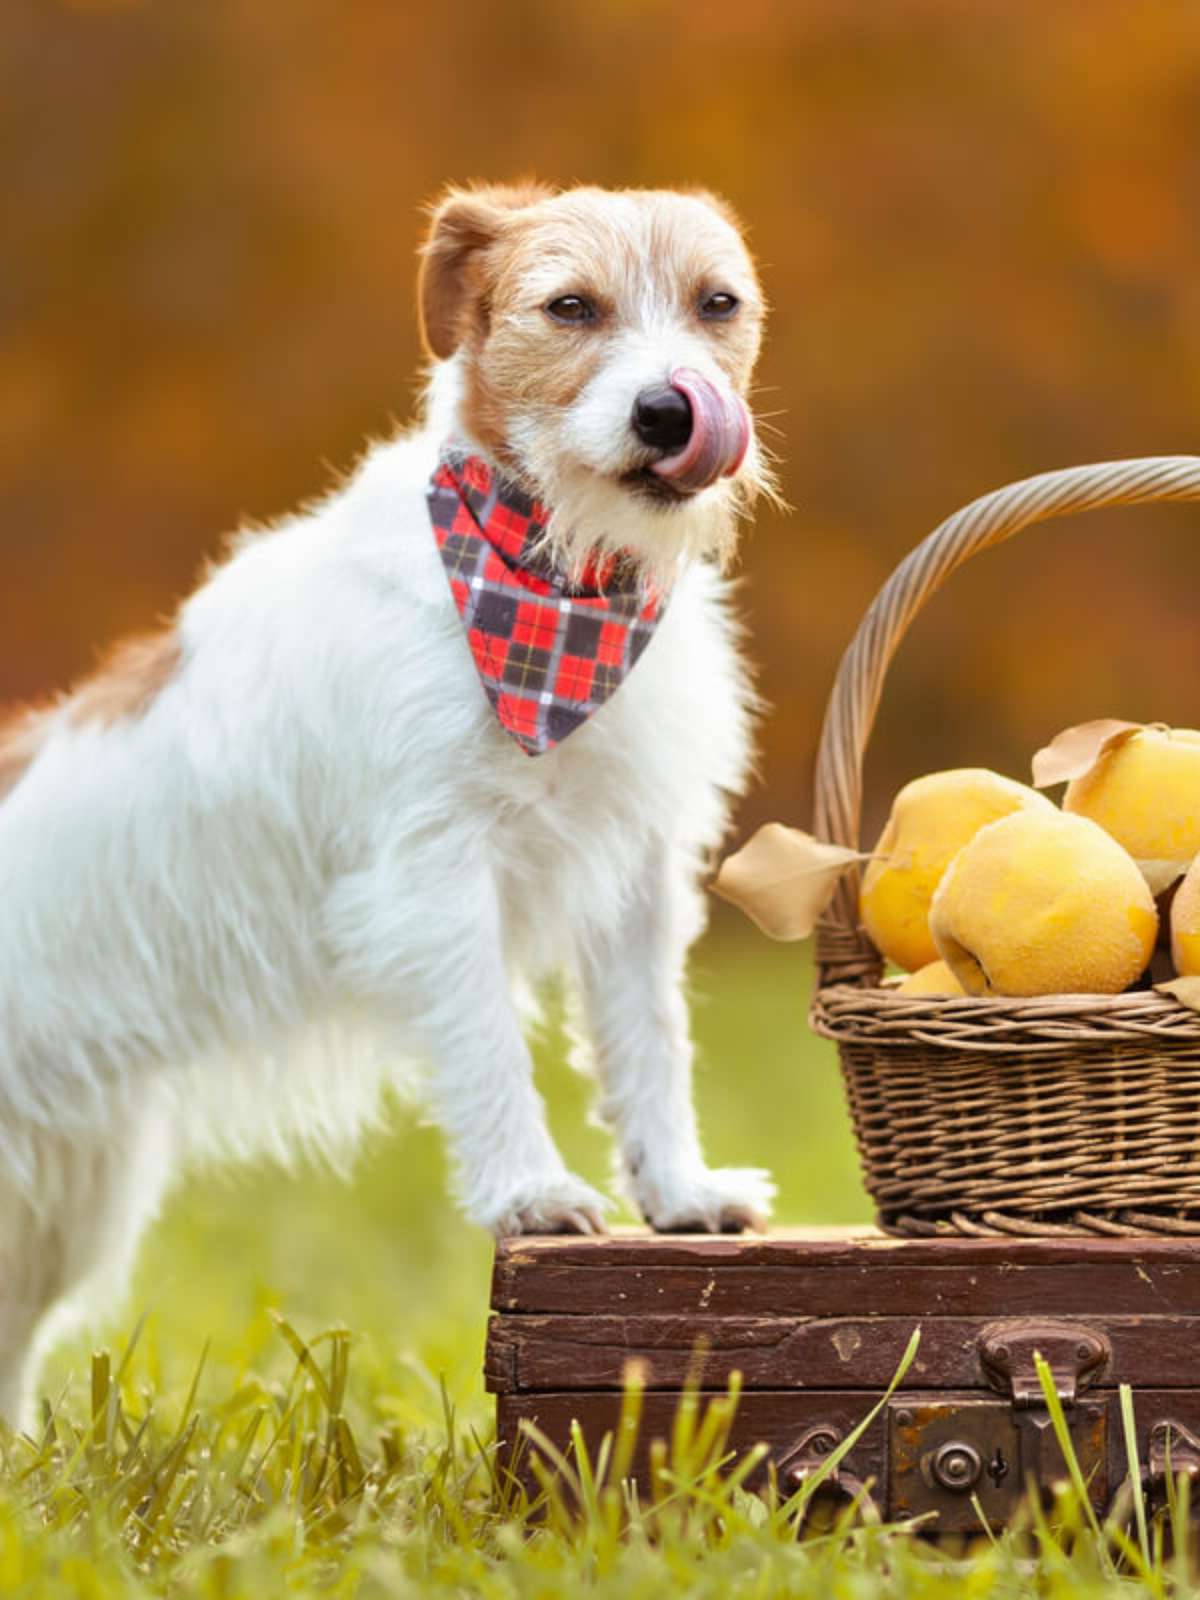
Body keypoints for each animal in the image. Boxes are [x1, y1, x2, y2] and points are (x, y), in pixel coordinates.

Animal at [0, 184, 780, 1427]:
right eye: (570, 307)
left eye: (718, 303)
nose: (670, 410)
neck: (551, 596)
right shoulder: (432, 880)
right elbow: (489, 1048)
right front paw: (528, 1190)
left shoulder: (635, 874)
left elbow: (649, 1044)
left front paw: (680, 1190)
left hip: (65, 1199)